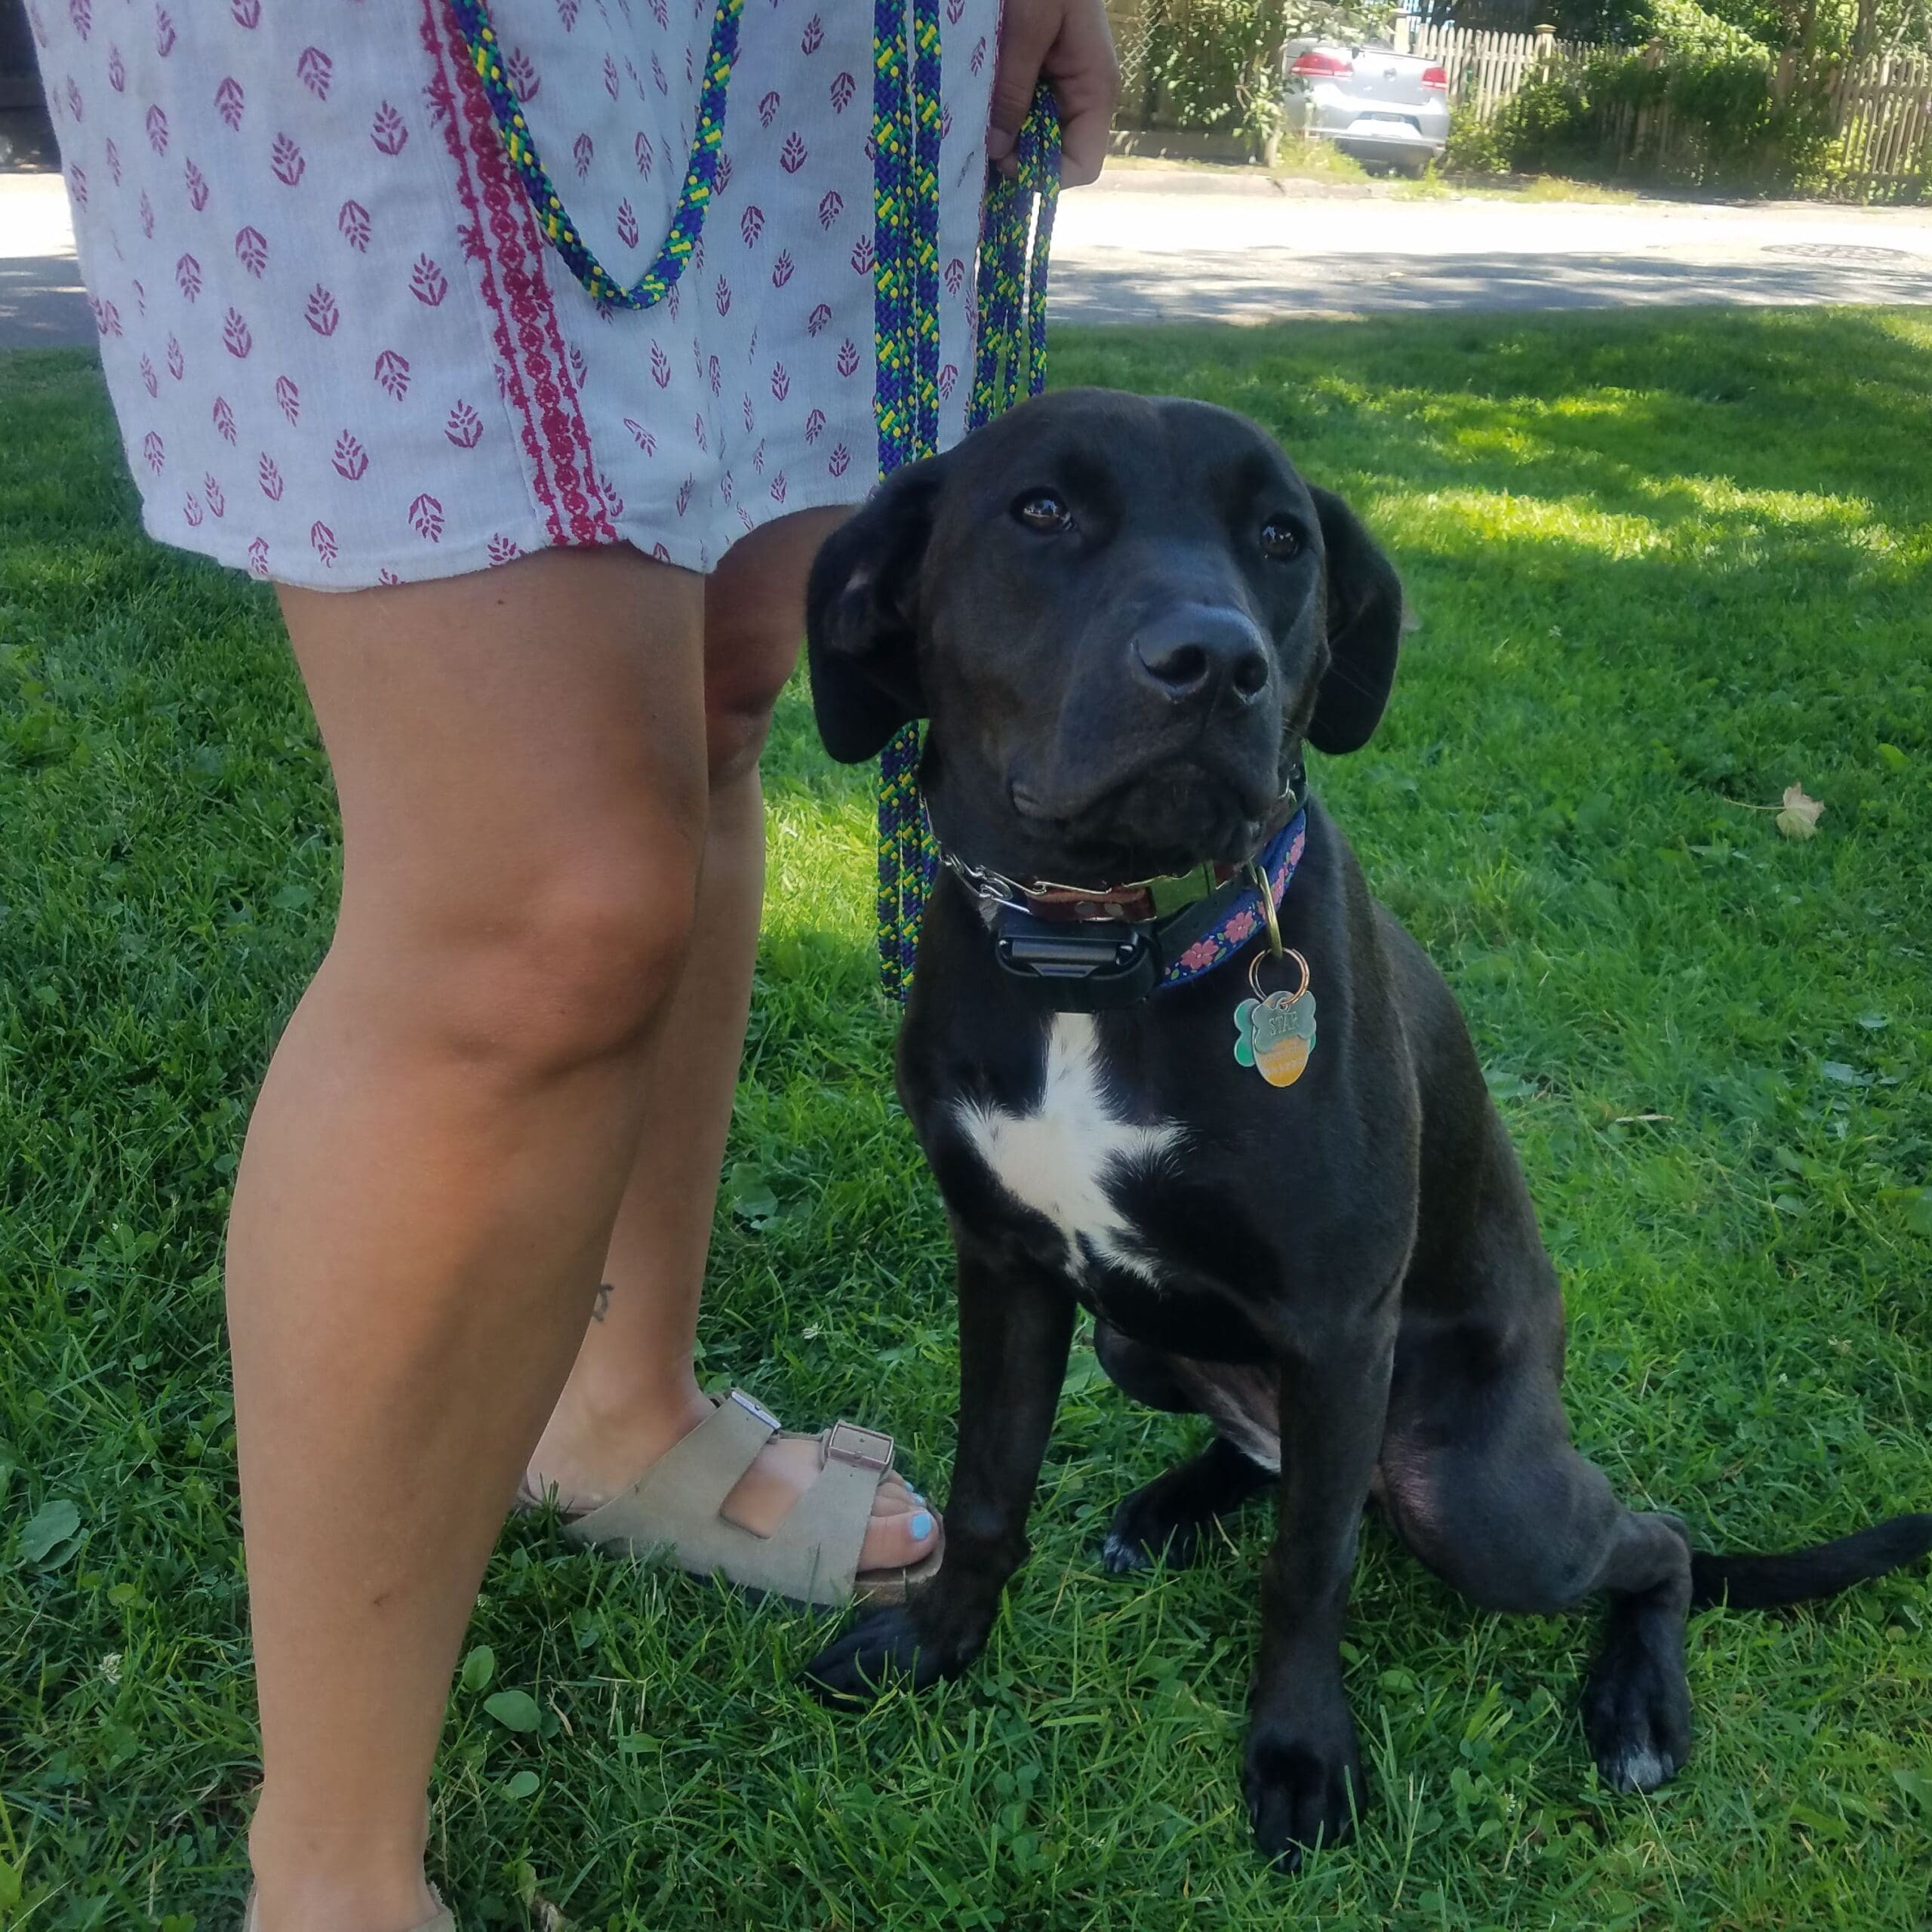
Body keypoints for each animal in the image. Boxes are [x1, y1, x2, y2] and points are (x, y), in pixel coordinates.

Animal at [792, 395, 1924, 1870]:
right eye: (1040, 512)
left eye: (1282, 538)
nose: (1217, 663)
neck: (1101, 959)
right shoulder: (1007, 1265)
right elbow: (989, 1489)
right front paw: (935, 1645)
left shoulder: (1335, 1324)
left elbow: (1306, 1572)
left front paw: (1296, 1757)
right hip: (1137, 1341)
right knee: (1262, 1452)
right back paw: (1166, 1511)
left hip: (1482, 1503)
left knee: (1654, 1541)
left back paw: (1637, 1708)